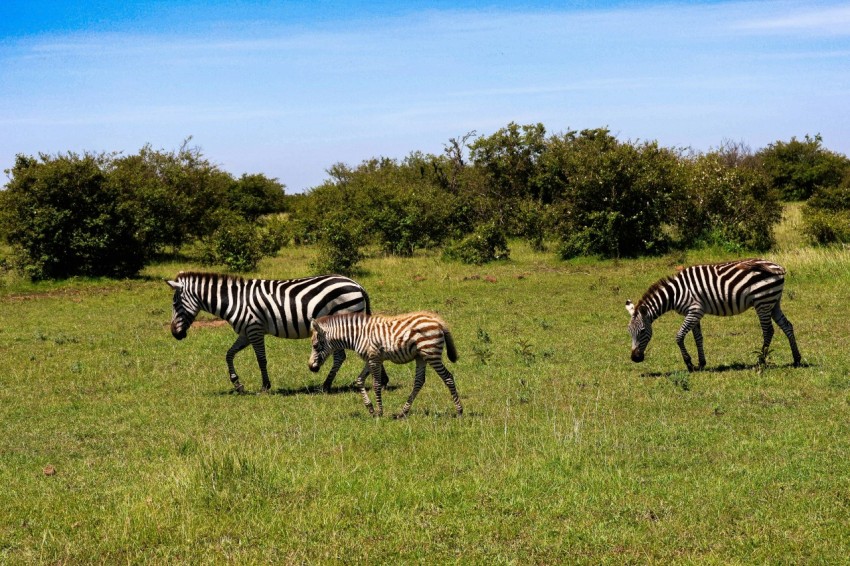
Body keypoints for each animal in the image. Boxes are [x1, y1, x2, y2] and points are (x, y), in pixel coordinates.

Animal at [165, 274, 388, 394]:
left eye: (175, 304)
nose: (175, 334)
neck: (234, 301)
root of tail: (357, 285)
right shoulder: (245, 332)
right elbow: (229, 354)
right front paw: (237, 383)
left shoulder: (254, 329)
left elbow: (261, 359)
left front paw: (265, 386)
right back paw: (382, 381)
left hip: (342, 321)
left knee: (341, 356)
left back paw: (326, 385)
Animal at [306, 312, 460, 420]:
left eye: (315, 346)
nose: (311, 367)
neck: (358, 336)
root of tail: (438, 321)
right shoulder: (371, 359)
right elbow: (359, 380)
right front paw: (370, 408)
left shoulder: (374, 359)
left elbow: (376, 384)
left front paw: (380, 412)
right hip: (421, 357)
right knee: (419, 381)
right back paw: (402, 413)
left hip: (431, 354)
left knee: (448, 377)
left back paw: (459, 411)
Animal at [624, 258, 800, 372]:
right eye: (629, 332)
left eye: (643, 331)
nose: (635, 358)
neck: (675, 293)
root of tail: (777, 266)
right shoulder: (695, 313)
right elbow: (698, 338)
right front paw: (701, 364)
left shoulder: (695, 311)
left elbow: (679, 336)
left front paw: (689, 364)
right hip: (773, 302)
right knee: (787, 326)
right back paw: (796, 359)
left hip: (762, 302)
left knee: (768, 330)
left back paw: (761, 361)